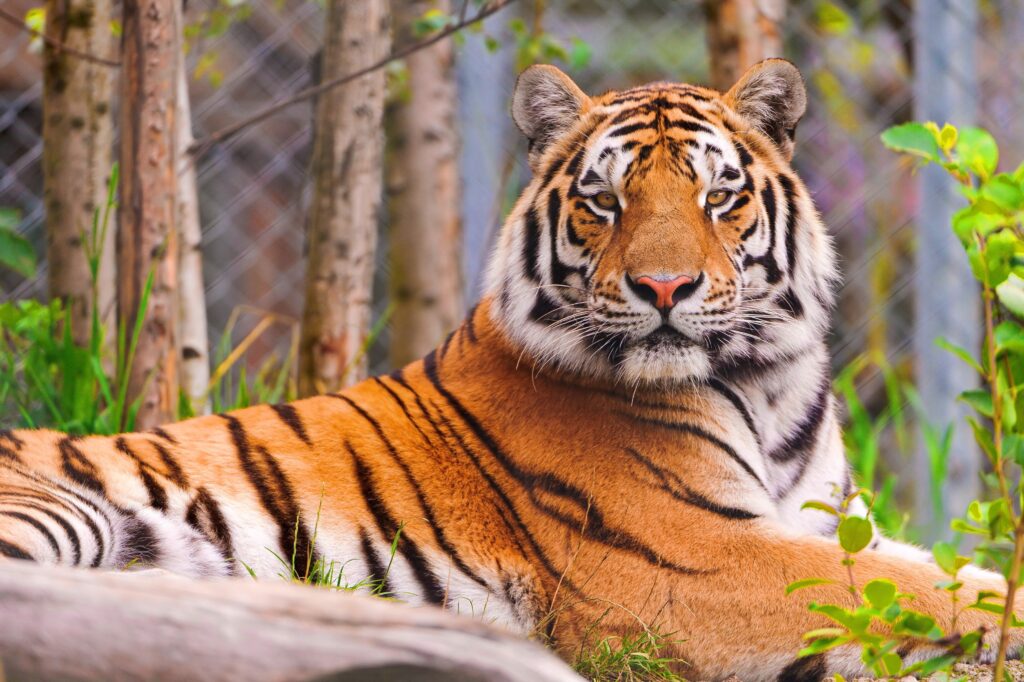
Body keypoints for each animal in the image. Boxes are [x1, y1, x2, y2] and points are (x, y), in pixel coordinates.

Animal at [0, 59, 1020, 680]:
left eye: (716, 197)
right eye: (605, 201)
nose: (663, 287)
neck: (767, 385)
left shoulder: (825, 522)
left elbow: (930, 569)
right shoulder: (693, 561)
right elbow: (914, 592)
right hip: (61, 510)